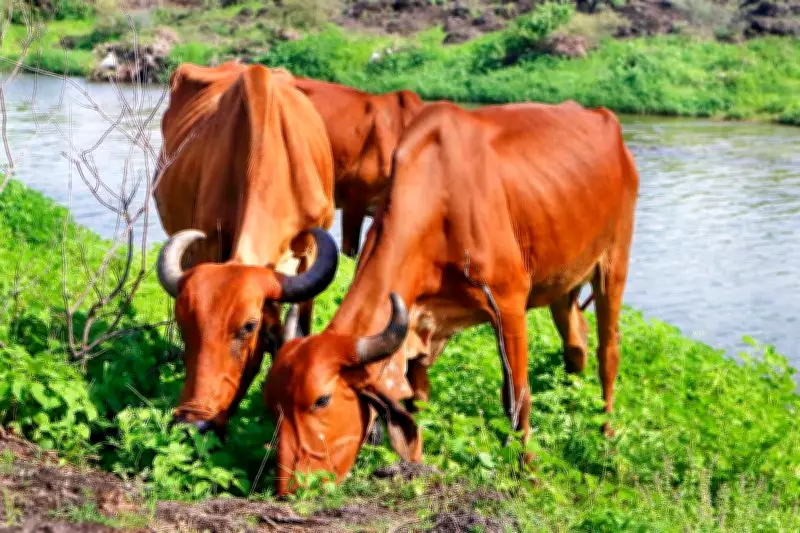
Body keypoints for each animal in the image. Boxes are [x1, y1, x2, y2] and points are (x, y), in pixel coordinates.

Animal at [262, 100, 640, 495]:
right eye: (271, 404)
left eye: (321, 400)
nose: (288, 489)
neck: (439, 200)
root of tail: (605, 120)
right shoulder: (420, 323)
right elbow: (417, 402)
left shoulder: (509, 305)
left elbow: (518, 398)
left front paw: (531, 473)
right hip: (563, 283)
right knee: (576, 344)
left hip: (613, 262)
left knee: (608, 352)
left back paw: (607, 438)